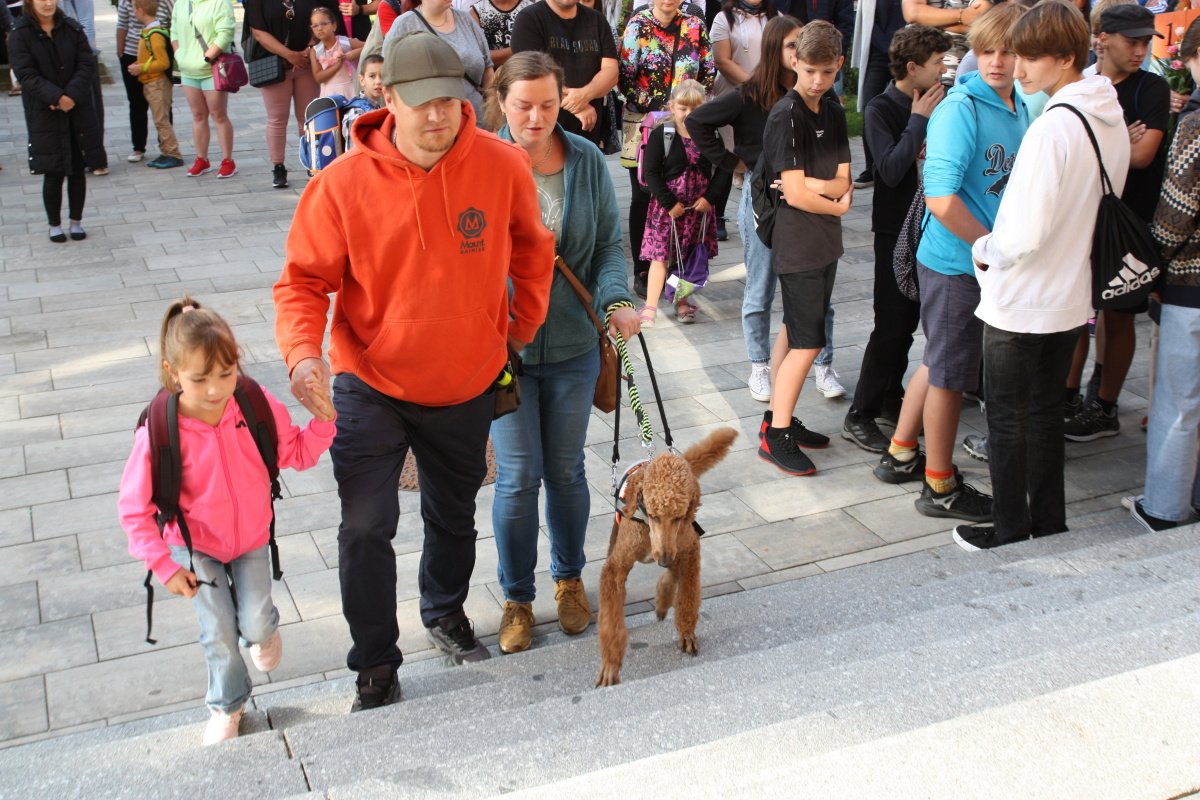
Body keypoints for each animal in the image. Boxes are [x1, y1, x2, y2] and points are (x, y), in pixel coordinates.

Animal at [596, 427, 738, 687]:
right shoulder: (616, 567)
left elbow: (687, 595)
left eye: (678, 516)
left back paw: (663, 599)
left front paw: (686, 632)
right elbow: (611, 620)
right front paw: (610, 664)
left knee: (673, 574)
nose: (662, 559)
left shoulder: (689, 547)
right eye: (653, 514)